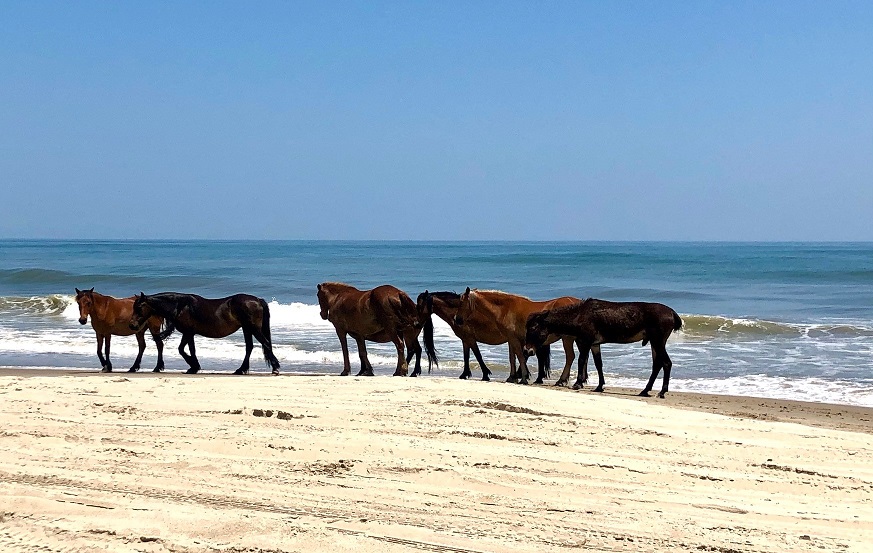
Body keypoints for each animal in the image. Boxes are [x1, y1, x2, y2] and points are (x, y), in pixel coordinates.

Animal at [129, 292, 280, 375]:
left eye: (139, 307)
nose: (132, 325)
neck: (180, 306)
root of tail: (257, 300)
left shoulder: (188, 333)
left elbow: (184, 349)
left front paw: (194, 366)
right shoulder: (189, 333)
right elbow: (187, 349)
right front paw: (193, 367)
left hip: (253, 328)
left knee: (265, 343)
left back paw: (275, 368)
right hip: (246, 328)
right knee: (249, 347)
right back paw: (241, 369)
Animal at [524, 299, 683, 398]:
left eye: (533, 328)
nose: (527, 350)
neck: (579, 315)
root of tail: (672, 313)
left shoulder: (585, 342)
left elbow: (582, 361)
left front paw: (577, 383)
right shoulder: (595, 344)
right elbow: (598, 364)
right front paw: (600, 386)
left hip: (658, 341)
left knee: (666, 363)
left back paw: (661, 392)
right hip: (654, 342)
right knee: (657, 365)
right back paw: (645, 390)